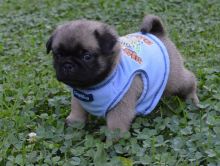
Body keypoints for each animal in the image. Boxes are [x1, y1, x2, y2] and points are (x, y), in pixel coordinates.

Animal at [45, 14, 199, 134]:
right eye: (58, 54)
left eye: (86, 56)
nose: (67, 64)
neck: (95, 85)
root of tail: (157, 34)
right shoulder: (78, 100)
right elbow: (77, 113)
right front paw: (73, 126)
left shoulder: (119, 110)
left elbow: (115, 129)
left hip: (174, 81)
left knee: (189, 81)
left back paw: (192, 100)